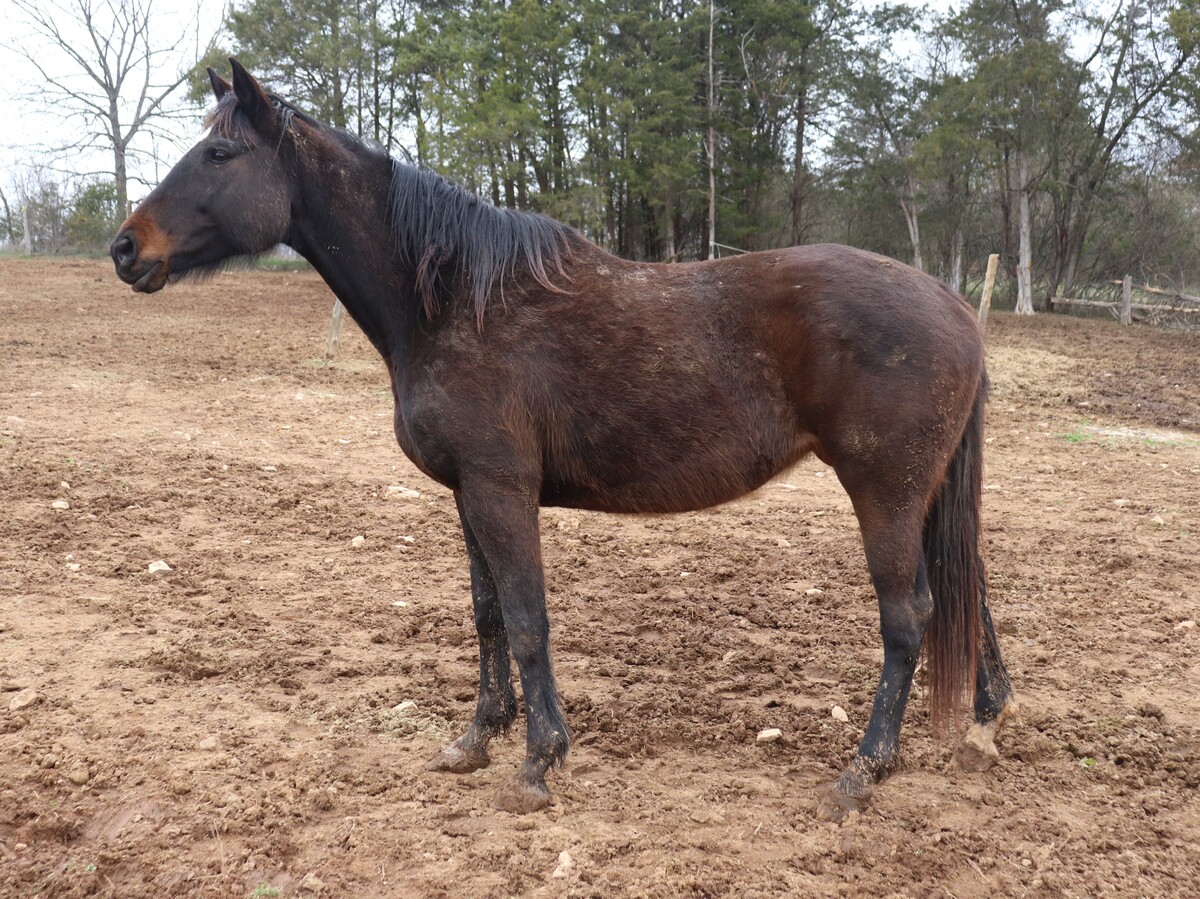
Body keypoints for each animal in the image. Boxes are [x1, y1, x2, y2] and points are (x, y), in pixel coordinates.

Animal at [111, 59, 1015, 819]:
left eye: (220, 152)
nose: (125, 248)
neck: (452, 300)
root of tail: (955, 308)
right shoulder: (467, 494)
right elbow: (486, 616)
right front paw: (476, 739)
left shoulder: (501, 489)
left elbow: (526, 616)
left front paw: (538, 764)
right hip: (926, 494)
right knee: (964, 596)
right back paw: (981, 724)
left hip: (885, 492)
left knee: (909, 615)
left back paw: (863, 770)